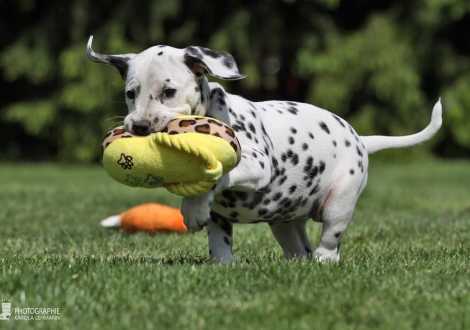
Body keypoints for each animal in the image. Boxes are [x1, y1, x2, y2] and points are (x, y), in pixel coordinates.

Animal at [89, 36, 444, 262]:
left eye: (169, 91)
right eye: (131, 93)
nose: (139, 127)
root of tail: (360, 139)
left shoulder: (257, 166)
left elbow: (218, 174)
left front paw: (192, 207)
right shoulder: (220, 220)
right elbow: (220, 245)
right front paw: (223, 268)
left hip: (339, 202)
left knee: (331, 239)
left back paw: (324, 260)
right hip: (284, 220)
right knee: (297, 248)